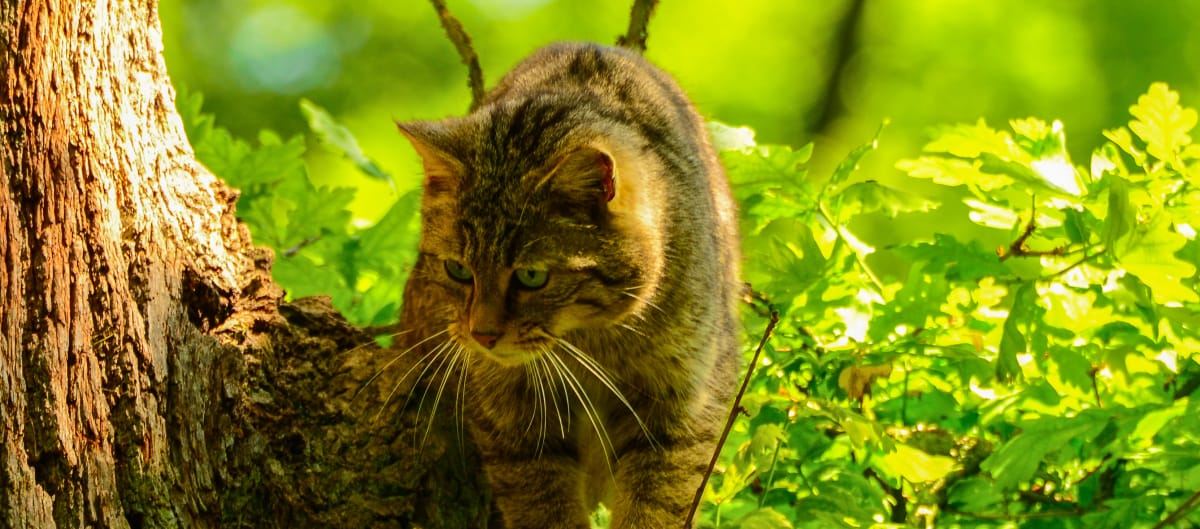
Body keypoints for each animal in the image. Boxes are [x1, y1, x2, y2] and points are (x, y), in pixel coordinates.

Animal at [396, 42, 739, 527]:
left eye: (531, 276)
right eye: (458, 270)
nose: (482, 335)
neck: (592, 342)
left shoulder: (683, 404)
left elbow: (657, 503)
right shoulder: (512, 420)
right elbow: (543, 504)